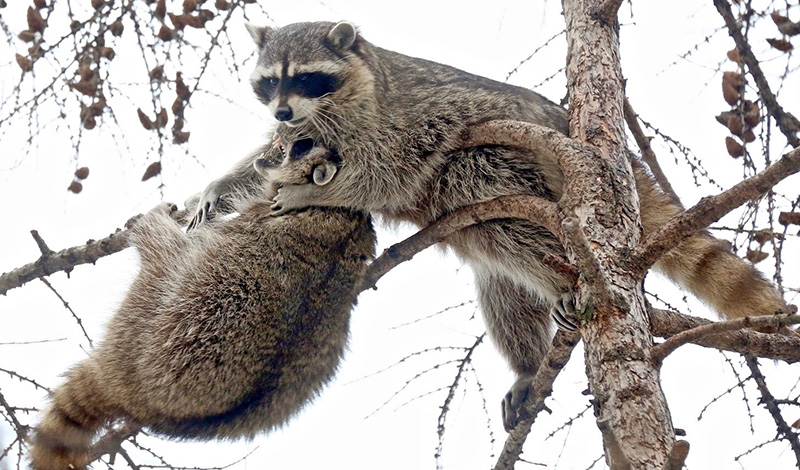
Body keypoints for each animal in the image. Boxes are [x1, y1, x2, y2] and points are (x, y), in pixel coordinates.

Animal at [30, 149, 376, 468]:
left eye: (294, 149)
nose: (267, 152)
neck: (341, 209)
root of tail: (132, 396)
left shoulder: (261, 217)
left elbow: (194, 241)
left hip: (151, 313)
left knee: (165, 250)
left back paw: (150, 224)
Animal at [189, 21, 788, 430]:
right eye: (269, 82)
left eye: (307, 77)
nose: (282, 113)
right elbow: (264, 163)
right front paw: (223, 186)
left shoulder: (398, 119)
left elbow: (391, 169)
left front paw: (317, 189)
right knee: (502, 283)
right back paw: (528, 362)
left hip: (516, 161)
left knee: (475, 184)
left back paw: (564, 278)